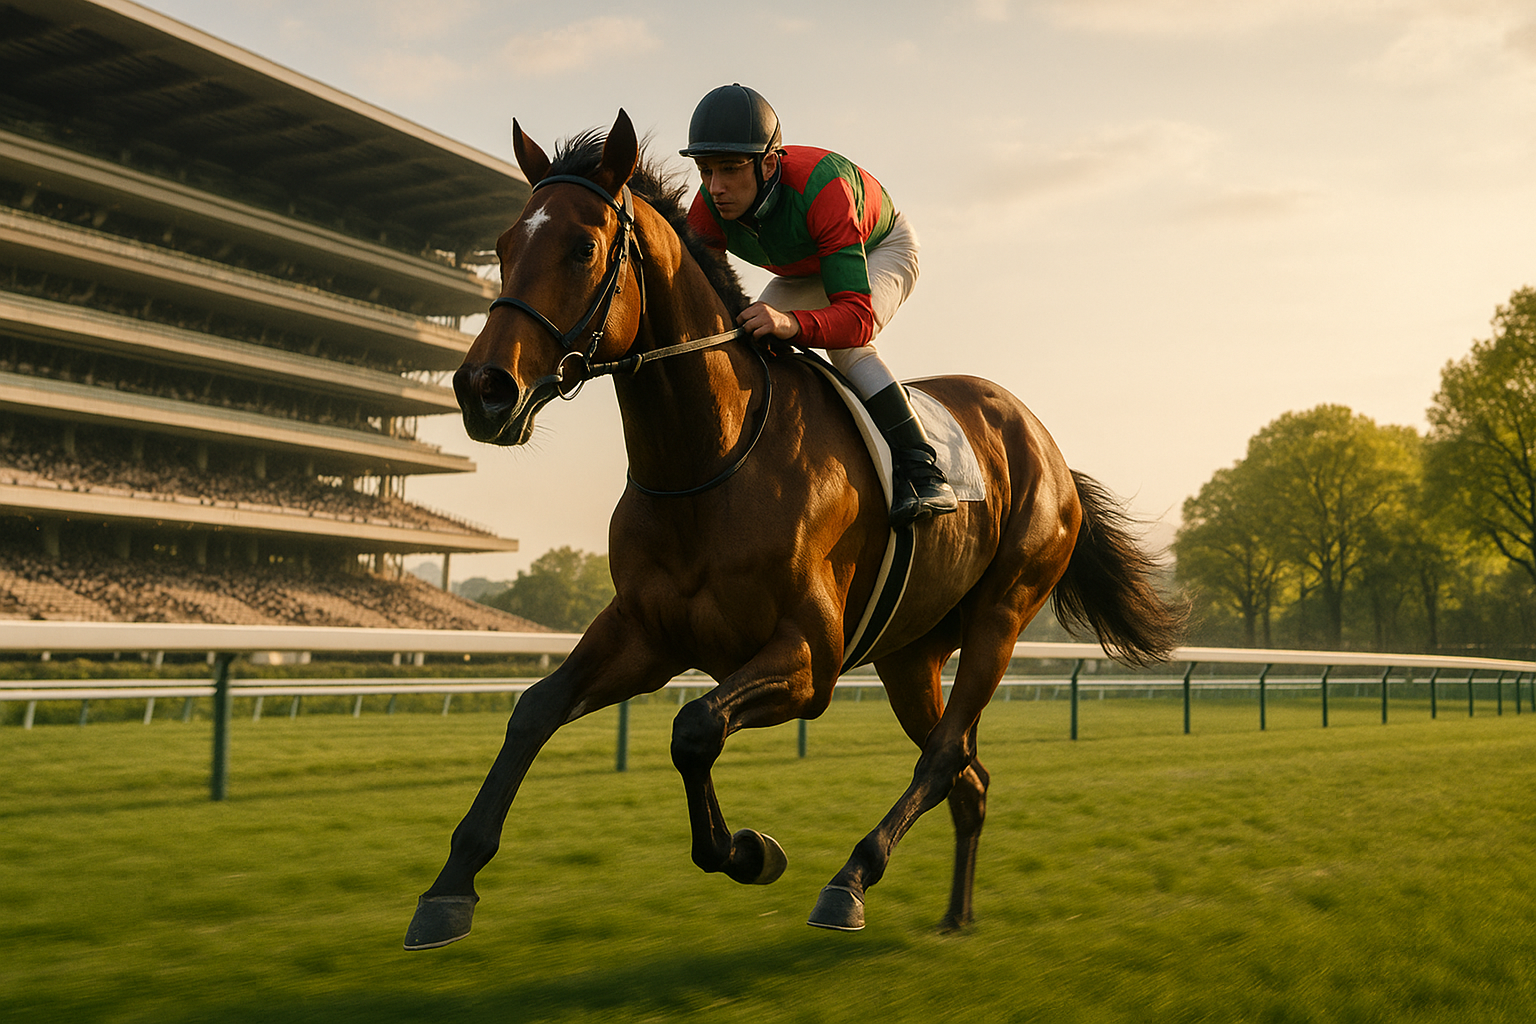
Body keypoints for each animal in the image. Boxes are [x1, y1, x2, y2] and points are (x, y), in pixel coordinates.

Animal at [404, 109, 1184, 950]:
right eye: (502, 246)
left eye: (581, 247)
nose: (482, 389)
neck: (708, 461)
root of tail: (1045, 444)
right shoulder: (647, 633)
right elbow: (534, 711)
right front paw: (448, 887)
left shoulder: (810, 657)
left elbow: (693, 728)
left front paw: (750, 852)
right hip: (911, 654)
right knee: (970, 776)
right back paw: (956, 915)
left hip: (1002, 616)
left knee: (944, 759)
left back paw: (851, 880)